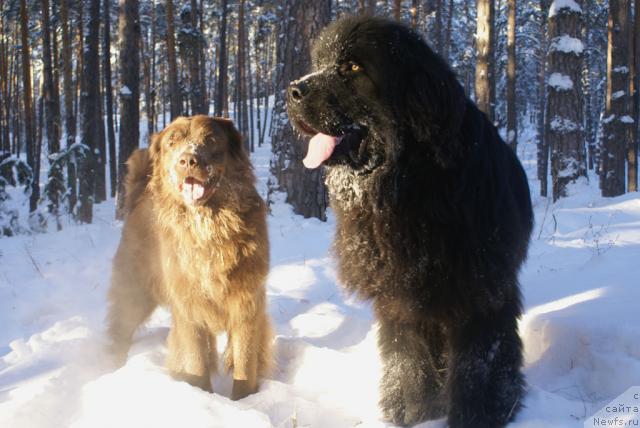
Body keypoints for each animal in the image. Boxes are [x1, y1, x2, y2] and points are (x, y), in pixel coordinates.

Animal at [107, 115, 270, 400]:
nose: (187, 160)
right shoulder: (189, 308)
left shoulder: (247, 304)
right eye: (172, 142)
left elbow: (245, 362)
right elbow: (196, 363)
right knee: (119, 329)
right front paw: (202, 395)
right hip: (134, 292)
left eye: (211, 139)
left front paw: (244, 400)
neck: (210, 228)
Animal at [288, 16, 532, 428]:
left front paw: (481, 412)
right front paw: (412, 409)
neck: (407, 188)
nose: (292, 90)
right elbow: (407, 354)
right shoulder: (398, 293)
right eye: (319, 62)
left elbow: (480, 357)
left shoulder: (482, 288)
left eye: (353, 67)